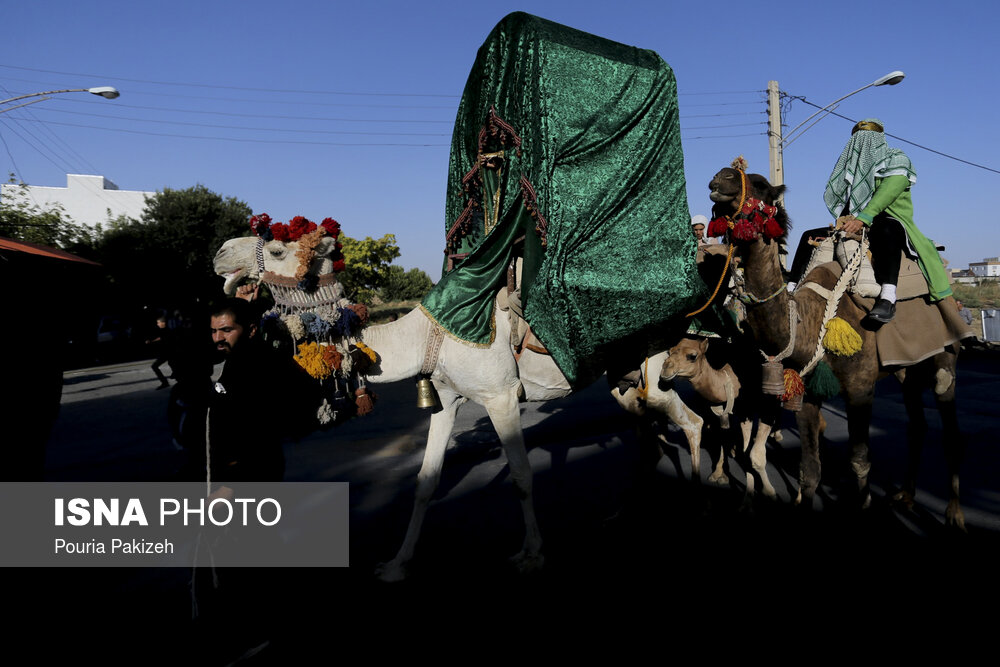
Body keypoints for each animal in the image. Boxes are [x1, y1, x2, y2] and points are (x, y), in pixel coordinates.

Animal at [216, 237, 708, 580]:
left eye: (276, 247)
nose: (221, 255)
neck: (426, 336)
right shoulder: (446, 402)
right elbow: (425, 482)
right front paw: (395, 564)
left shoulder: (501, 396)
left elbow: (522, 476)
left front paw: (531, 555)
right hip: (624, 381)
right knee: (651, 432)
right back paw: (624, 513)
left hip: (658, 367)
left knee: (694, 420)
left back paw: (702, 495)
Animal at [708, 166, 964, 528]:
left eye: (759, 184)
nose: (721, 177)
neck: (811, 319)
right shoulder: (807, 392)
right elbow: (810, 470)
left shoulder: (860, 387)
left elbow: (859, 460)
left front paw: (865, 508)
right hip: (906, 369)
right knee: (917, 424)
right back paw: (905, 496)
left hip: (945, 351)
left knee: (949, 425)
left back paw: (954, 515)